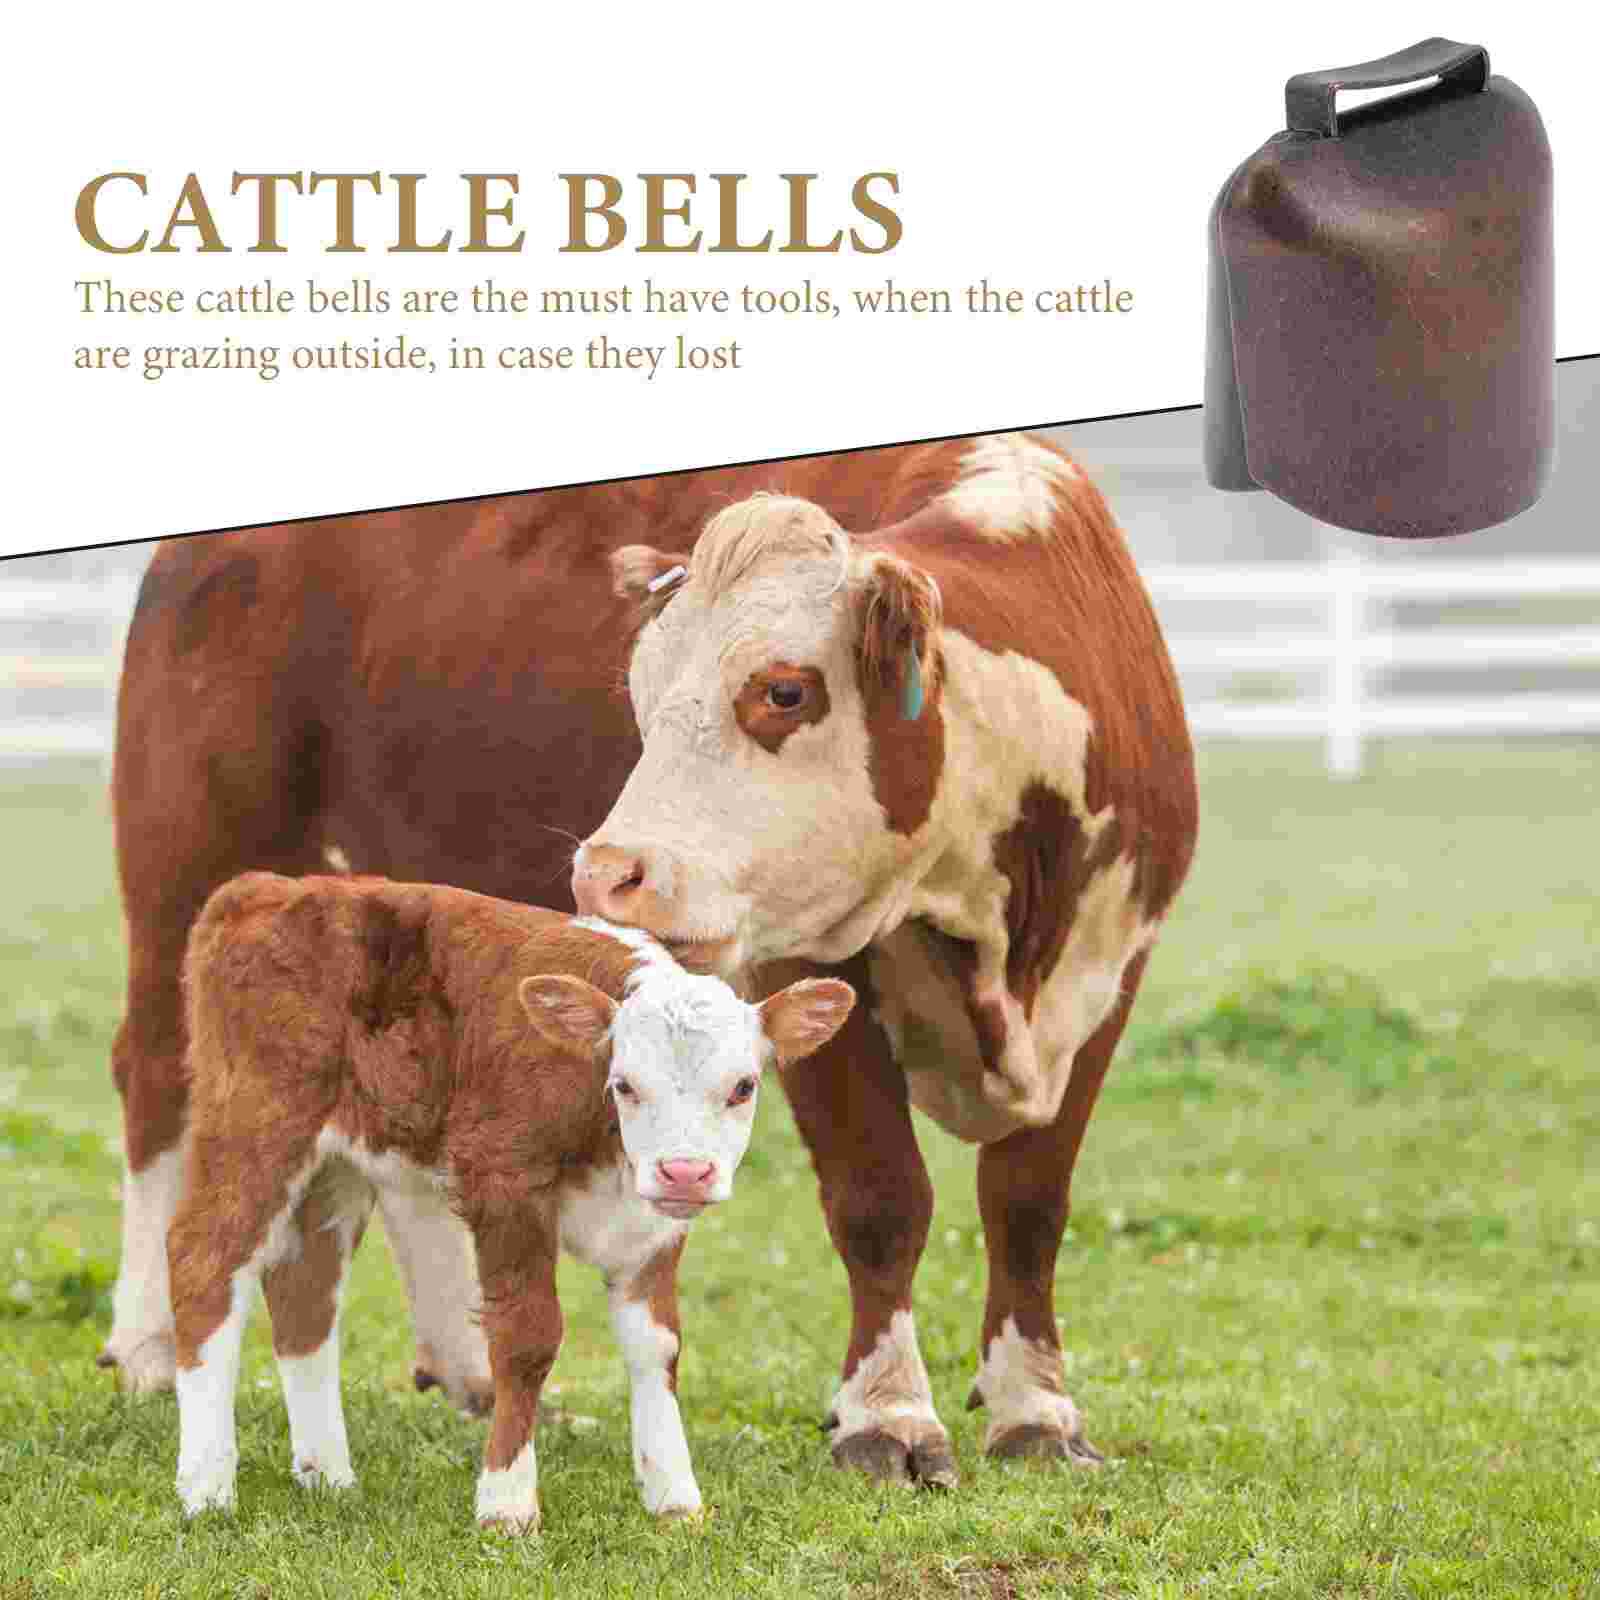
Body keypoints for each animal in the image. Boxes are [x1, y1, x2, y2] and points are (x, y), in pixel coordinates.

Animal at [169, 870, 854, 1528]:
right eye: (625, 1085)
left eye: (744, 1087)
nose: (685, 1172)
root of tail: (266, 888)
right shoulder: (504, 1184)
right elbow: (527, 1338)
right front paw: (507, 1503)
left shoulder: (651, 1224)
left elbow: (657, 1346)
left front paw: (675, 1497)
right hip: (255, 1121)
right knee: (202, 1262)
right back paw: (207, 1488)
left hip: (337, 1166)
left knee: (304, 1289)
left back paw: (327, 1476)